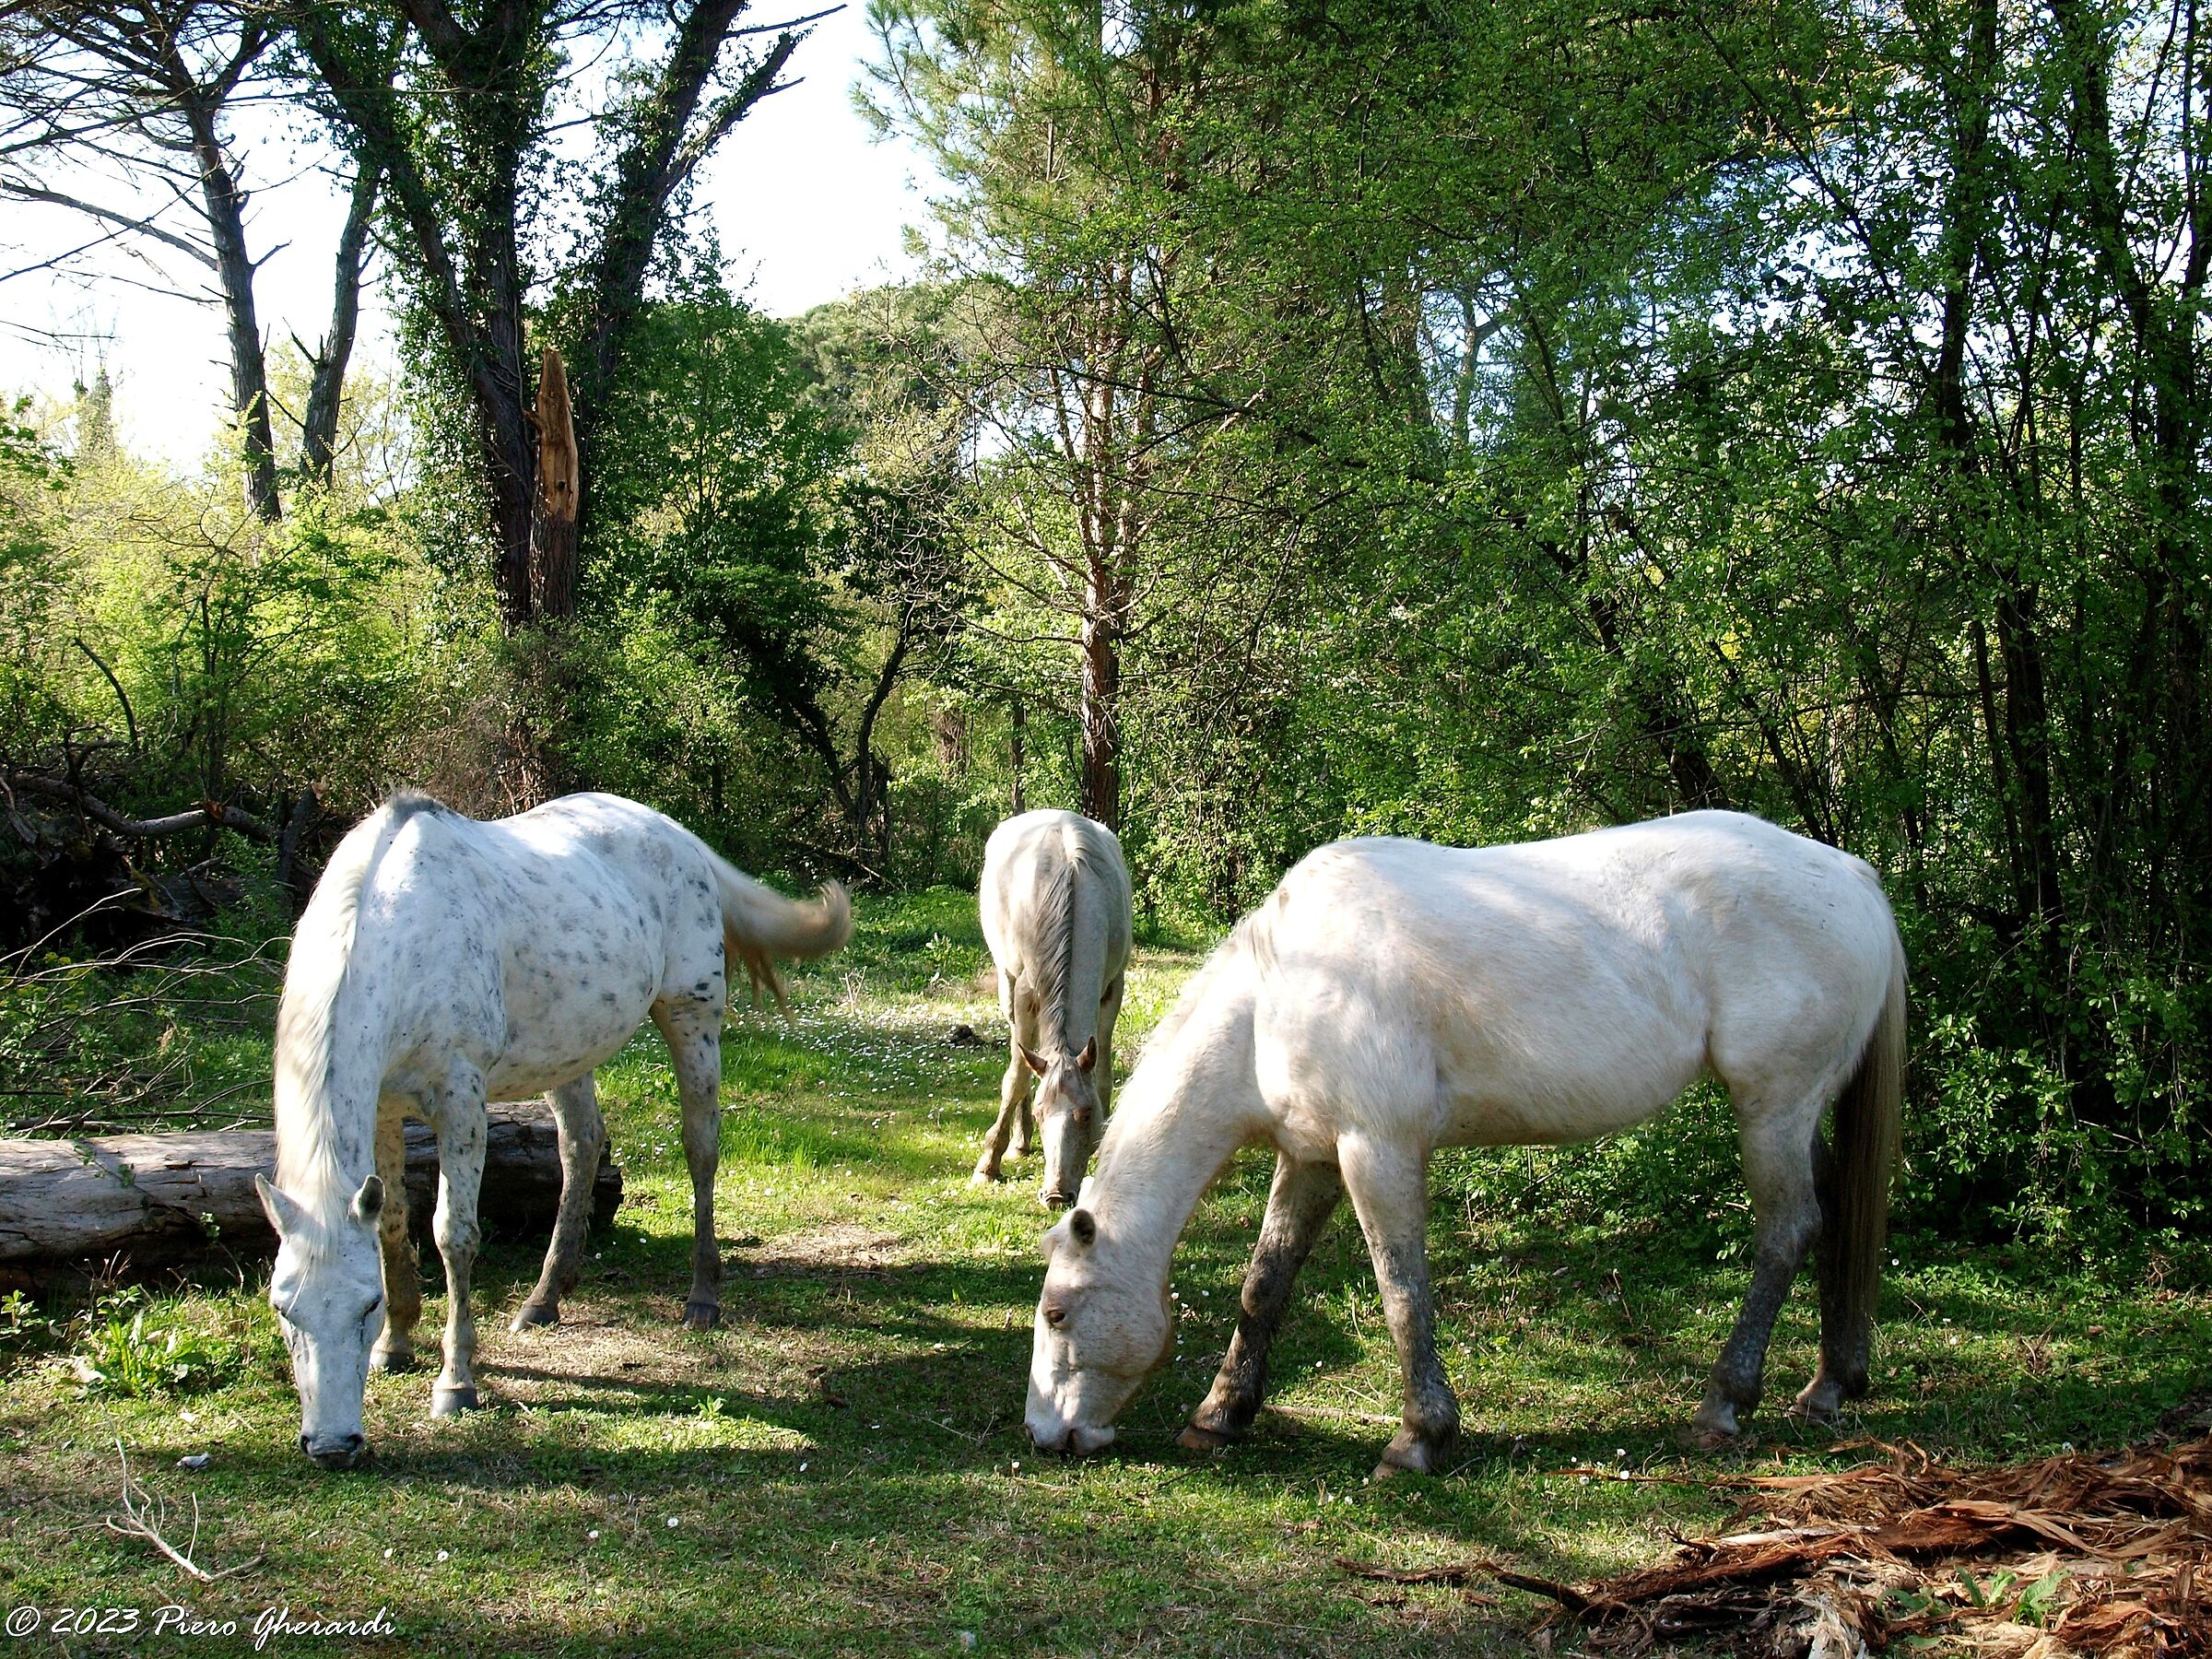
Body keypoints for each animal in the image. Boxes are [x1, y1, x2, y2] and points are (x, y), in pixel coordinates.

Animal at [253, 791, 850, 1468]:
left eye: (364, 1305)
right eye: (282, 1308)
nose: (332, 1446)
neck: (402, 934)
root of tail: (673, 832)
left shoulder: (460, 1101)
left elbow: (452, 1234)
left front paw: (455, 1382)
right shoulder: (383, 1106)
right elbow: (393, 1224)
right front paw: (398, 1345)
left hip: (691, 1020)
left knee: (701, 1150)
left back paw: (702, 1297)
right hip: (570, 1053)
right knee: (582, 1147)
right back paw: (545, 1297)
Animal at [972, 810, 1134, 1208]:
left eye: (1087, 1114)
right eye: (1042, 1112)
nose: (1057, 1195)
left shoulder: (1113, 988)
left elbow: (1103, 1075)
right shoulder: (1025, 993)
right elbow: (1015, 1078)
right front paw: (988, 1163)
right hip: (1007, 987)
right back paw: (1018, 1141)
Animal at [1024, 810, 1905, 1477]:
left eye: (1059, 1313)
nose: (1044, 1435)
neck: (1281, 987)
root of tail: (1854, 877)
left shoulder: (1376, 1151)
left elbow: (1402, 1290)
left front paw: (1418, 1438)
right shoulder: (1311, 1157)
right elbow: (1264, 1283)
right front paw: (1220, 1413)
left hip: (1771, 1108)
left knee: (1788, 1231)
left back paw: (1725, 1402)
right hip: (1794, 1115)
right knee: (1834, 1215)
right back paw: (1830, 1384)